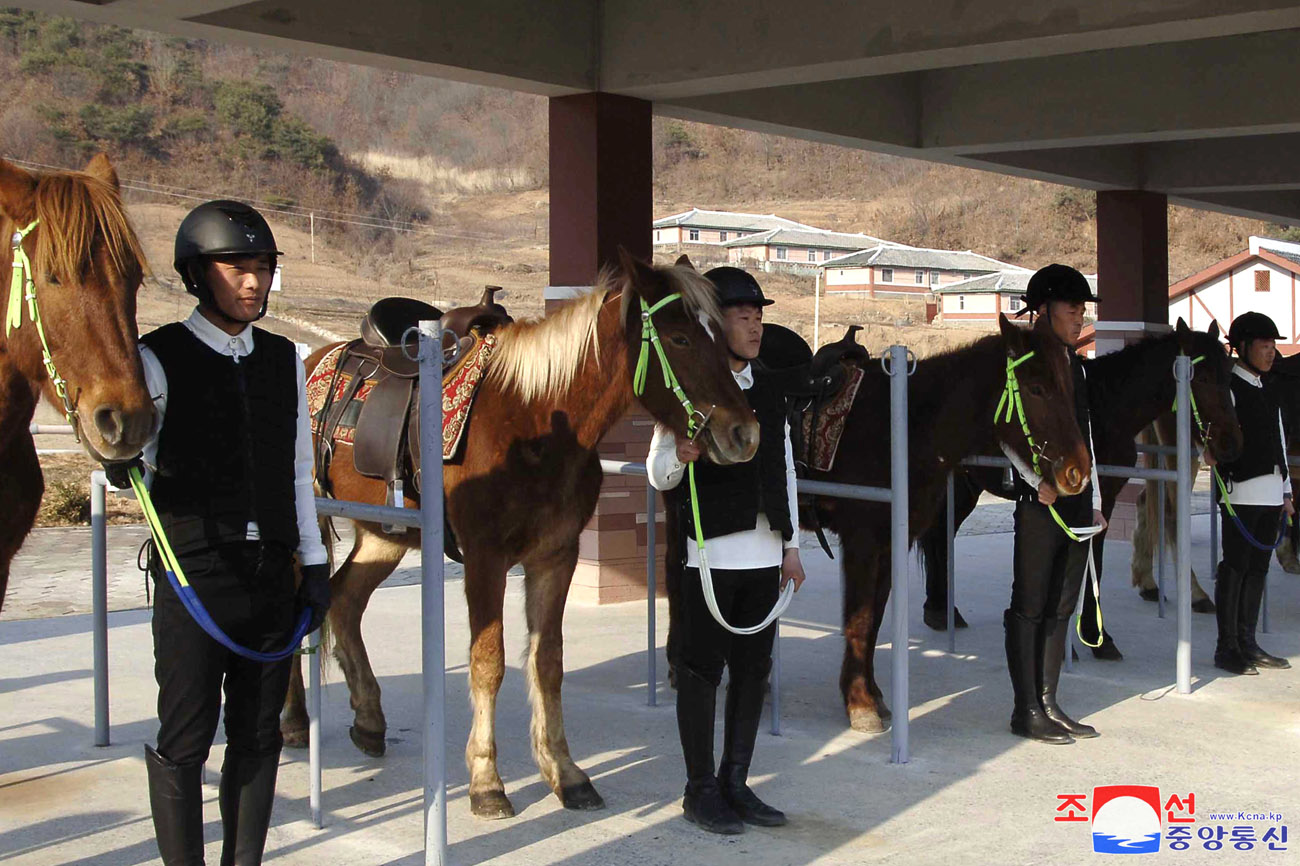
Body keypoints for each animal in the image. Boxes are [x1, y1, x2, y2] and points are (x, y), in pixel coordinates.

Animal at [279, 250, 759, 816]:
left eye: (720, 335)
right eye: (681, 338)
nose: (744, 434)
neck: (535, 421)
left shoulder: (555, 556)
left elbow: (547, 661)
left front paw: (565, 772)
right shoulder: (485, 559)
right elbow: (489, 663)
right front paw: (487, 781)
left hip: (384, 536)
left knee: (344, 601)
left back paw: (369, 720)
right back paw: (294, 721)